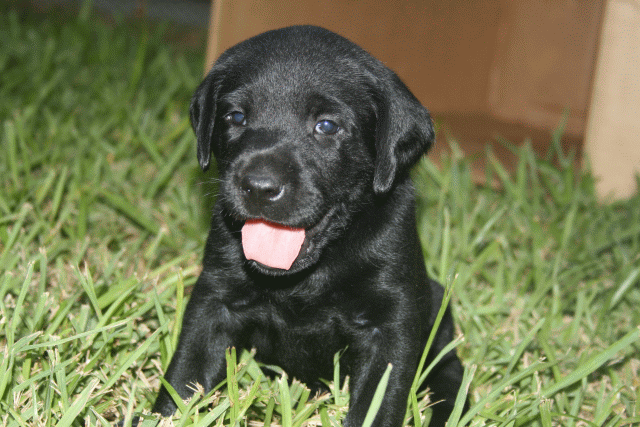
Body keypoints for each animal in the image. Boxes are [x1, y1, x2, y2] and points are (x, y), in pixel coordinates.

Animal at [154, 25, 464, 426]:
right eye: (235, 117)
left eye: (327, 126)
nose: (259, 186)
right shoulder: (215, 299)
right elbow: (184, 376)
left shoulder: (390, 322)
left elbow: (378, 402)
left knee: (452, 371)